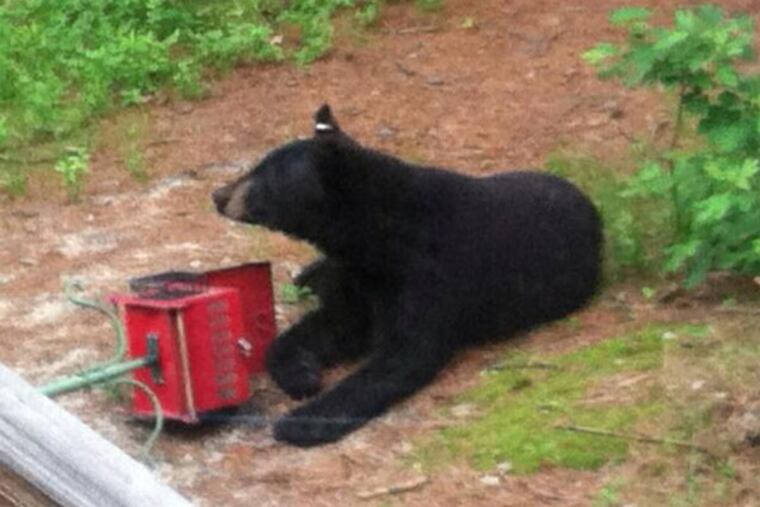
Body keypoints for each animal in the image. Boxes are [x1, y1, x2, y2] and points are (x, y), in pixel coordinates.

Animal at [212, 104, 603, 447]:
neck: (373, 238)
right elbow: (334, 323)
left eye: (264, 178)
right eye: (257, 166)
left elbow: (403, 353)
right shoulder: (357, 274)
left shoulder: (424, 272)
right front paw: (303, 375)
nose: (218, 195)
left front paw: (299, 422)